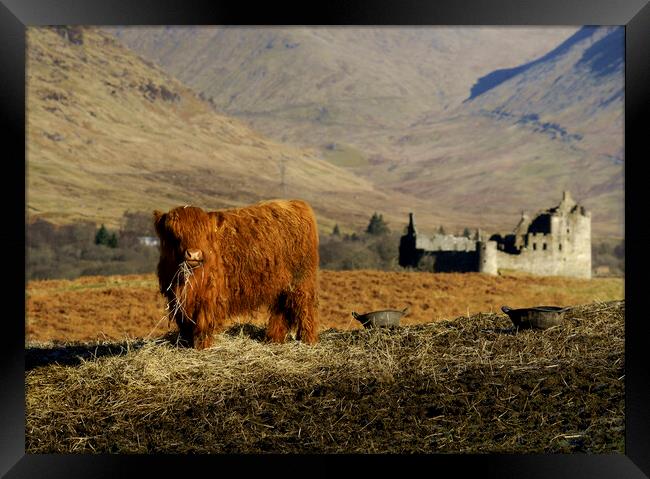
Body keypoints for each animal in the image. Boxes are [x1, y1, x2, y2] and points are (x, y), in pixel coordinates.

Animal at [155, 201, 322, 350]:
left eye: (205, 234)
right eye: (174, 234)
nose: (194, 254)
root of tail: (297, 204)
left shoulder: (208, 297)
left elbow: (203, 325)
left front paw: (202, 347)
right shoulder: (177, 298)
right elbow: (184, 324)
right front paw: (184, 344)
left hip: (301, 282)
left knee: (306, 309)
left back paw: (309, 341)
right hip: (281, 286)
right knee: (281, 311)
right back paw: (273, 339)